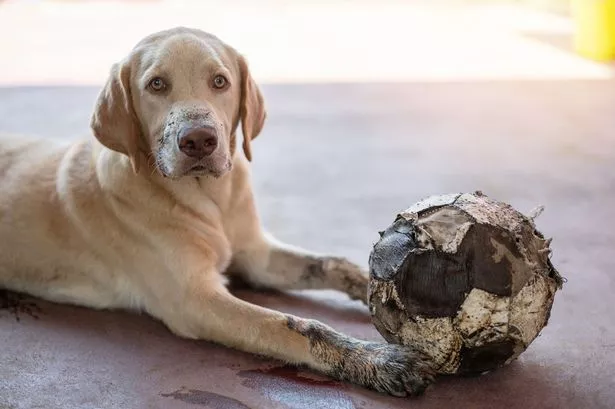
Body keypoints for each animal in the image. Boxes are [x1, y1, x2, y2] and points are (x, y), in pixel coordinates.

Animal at [0, 26, 434, 396]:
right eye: (156, 84)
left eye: (220, 81)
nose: (198, 141)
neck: (211, 200)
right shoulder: (196, 301)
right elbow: (292, 325)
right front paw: (377, 360)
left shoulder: (256, 256)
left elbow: (332, 264)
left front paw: (379, 290)